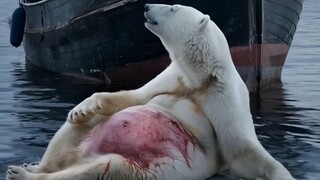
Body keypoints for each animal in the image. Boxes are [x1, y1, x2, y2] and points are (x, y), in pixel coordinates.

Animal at [6, 3, 294, 180]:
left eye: (173, 7)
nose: (145, 6)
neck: (200, 76)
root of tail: (77, 157)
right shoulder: (172, 77)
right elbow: (133, 96)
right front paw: (82, 108)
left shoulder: (225, 97)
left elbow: (243, 149)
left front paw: (283, 173)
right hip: (85, 140)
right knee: (71, 135)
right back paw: (32, 165)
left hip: (142, 168)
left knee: (104, 170)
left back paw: (25, 173)